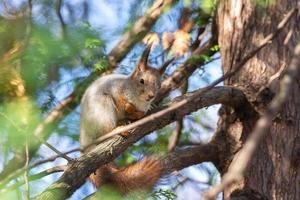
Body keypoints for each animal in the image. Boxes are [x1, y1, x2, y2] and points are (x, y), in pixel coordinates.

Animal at [79, 45, 173, 194]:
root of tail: (84, 138)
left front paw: (139, 114)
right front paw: (130, 109)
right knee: (105, 132)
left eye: (159, 84)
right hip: (103, 106)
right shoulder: (117, 92)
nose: (151, 96)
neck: (139, 100)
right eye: (142, 81)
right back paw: (118, 129)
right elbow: (122, 104)